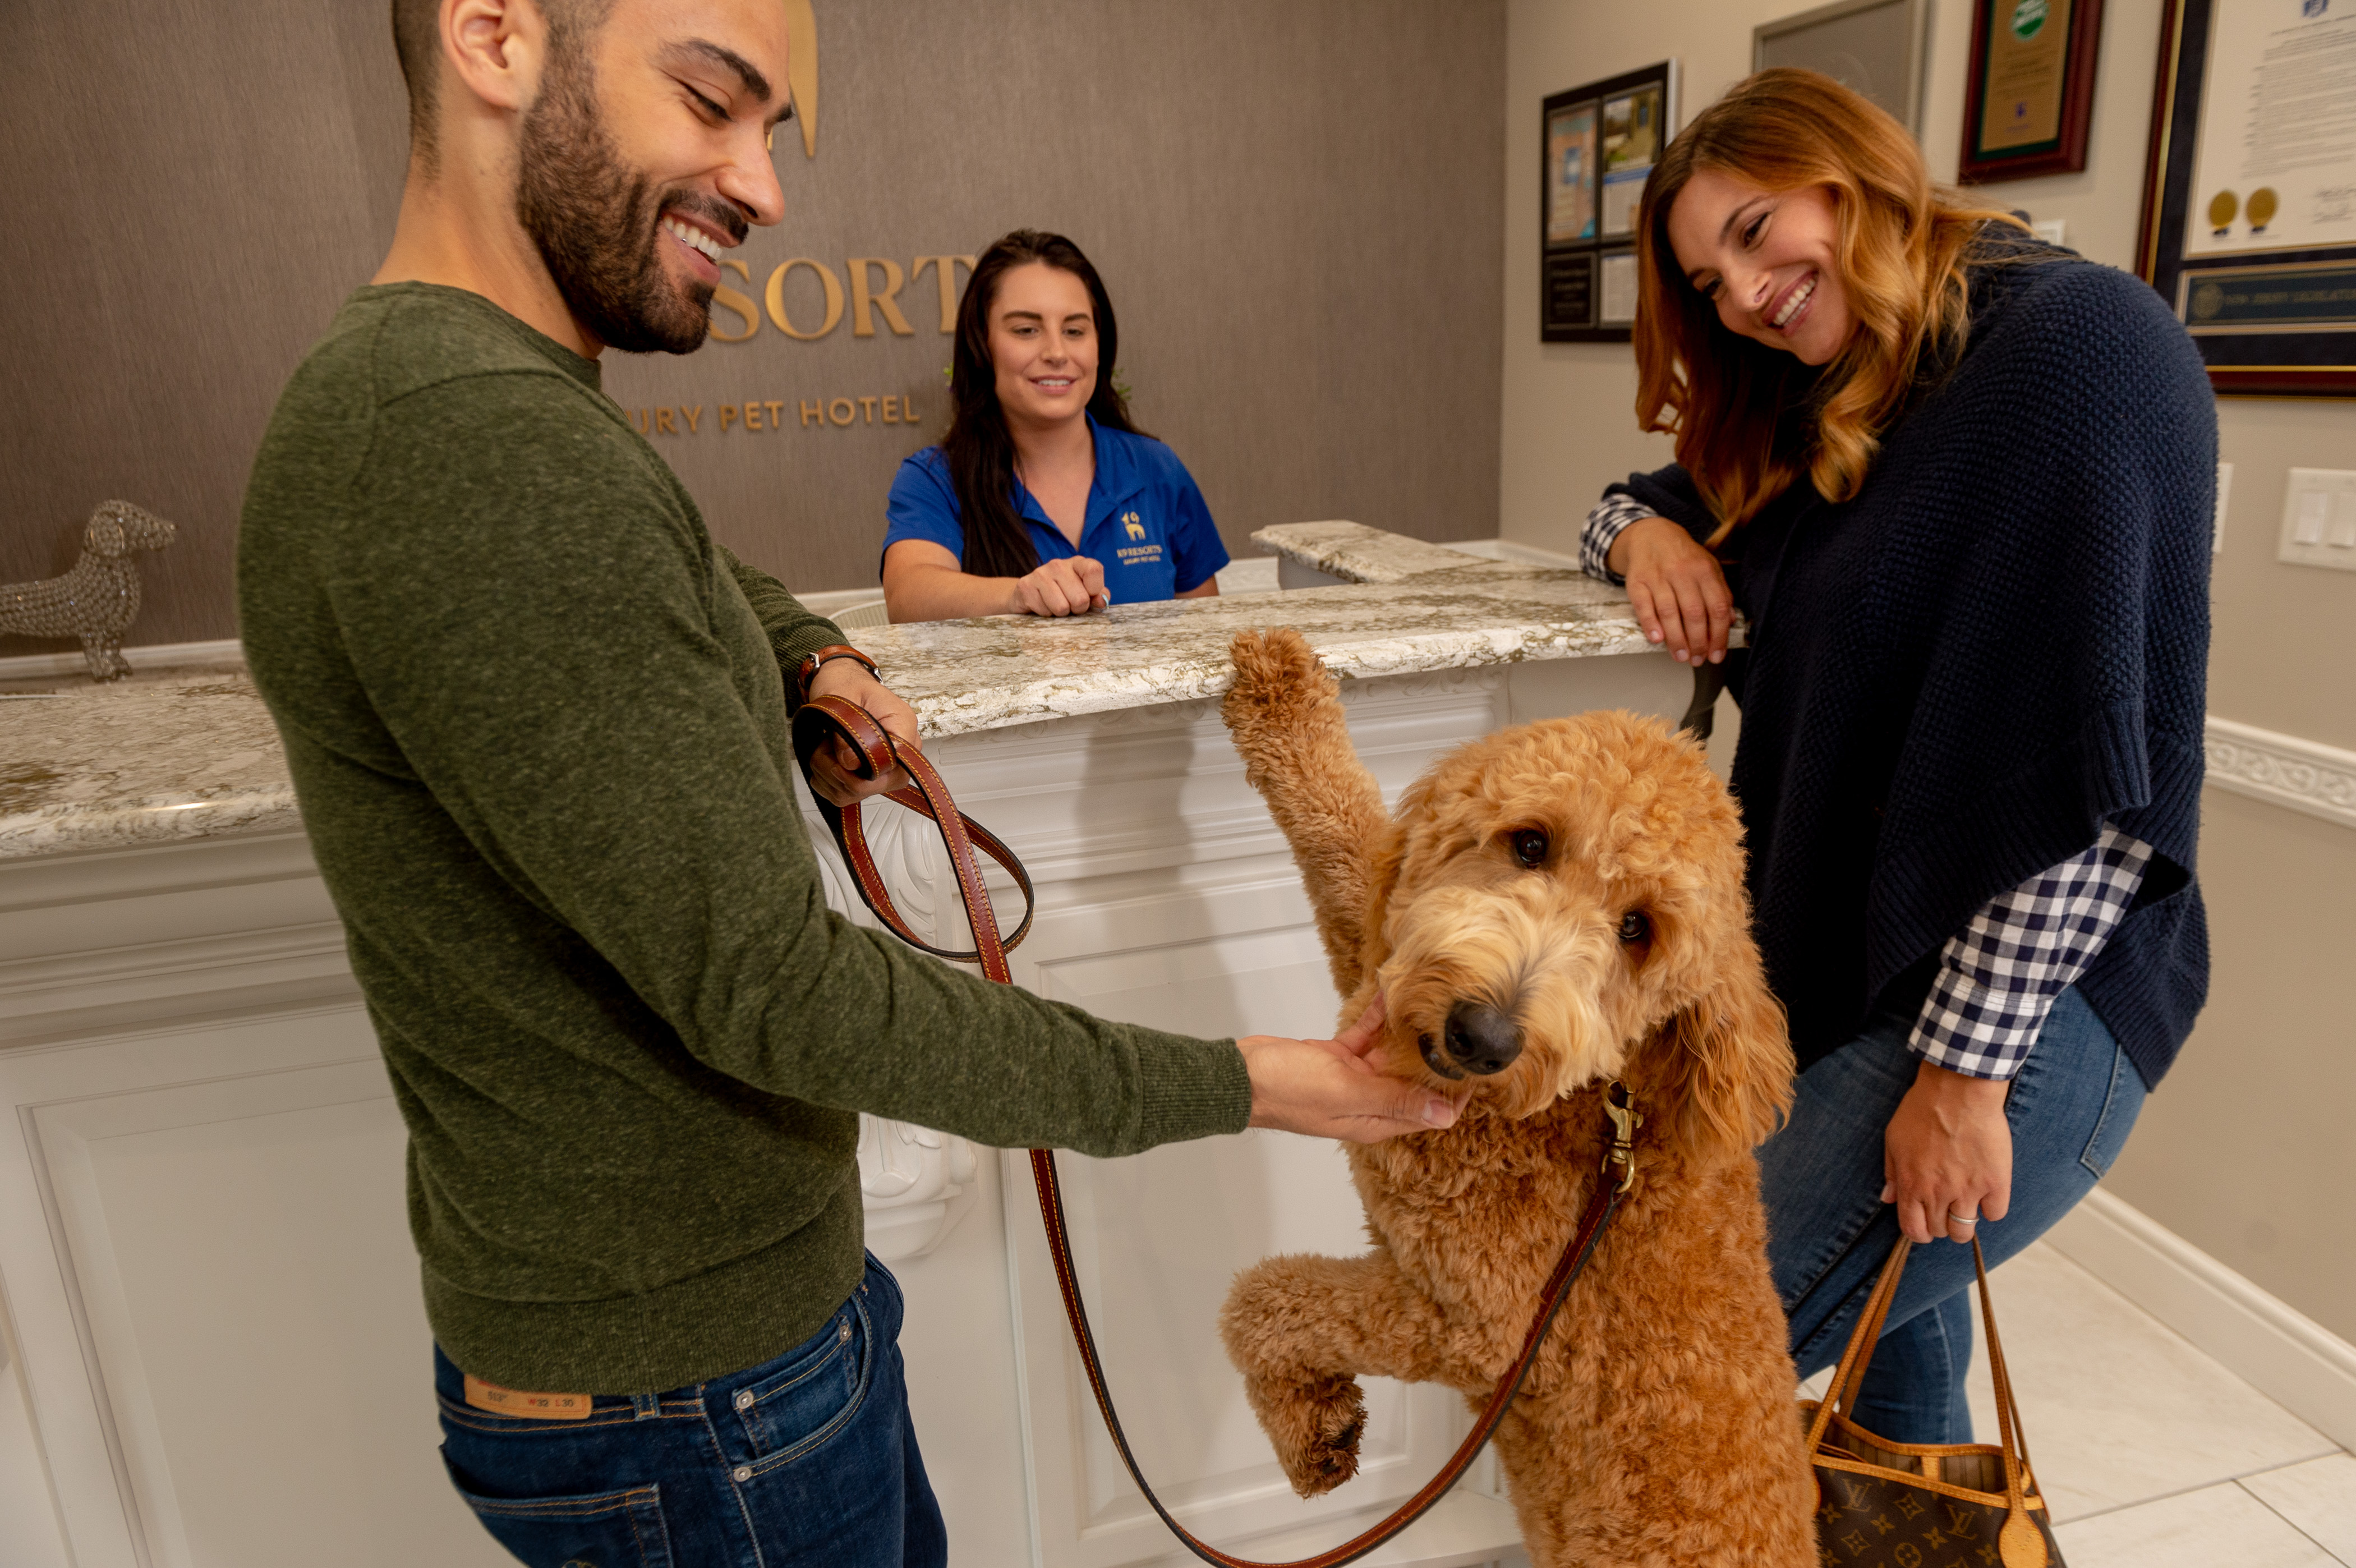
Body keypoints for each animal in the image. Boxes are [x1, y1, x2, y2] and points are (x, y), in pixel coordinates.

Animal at [1216, 632, 1819, 1556]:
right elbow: (1348, 842)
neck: (1601, 1105)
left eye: (1638, 929)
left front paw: (1308, 1428)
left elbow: (1267, 1298)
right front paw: (1280, 685)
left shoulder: (1480, 1326)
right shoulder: (1385, 949)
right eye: (1530, 844)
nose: (1484, 1035)